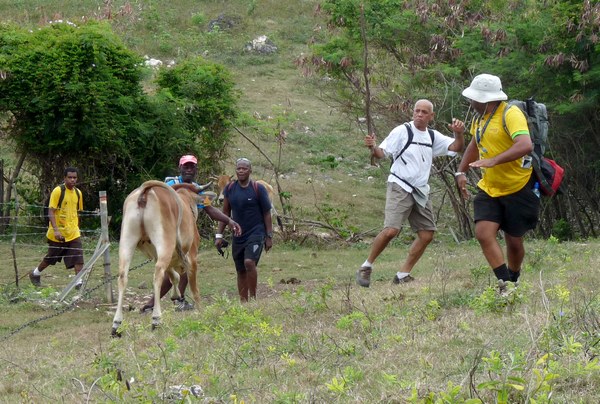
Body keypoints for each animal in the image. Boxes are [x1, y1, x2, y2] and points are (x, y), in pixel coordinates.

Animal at [111, 181, 212, 336]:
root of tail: (145, 191)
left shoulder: (158, 256)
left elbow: (174, 277)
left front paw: (176, 295)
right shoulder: (192, 257)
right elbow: (194, 289)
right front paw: (201, 312)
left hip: (127, 241)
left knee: (123, 277)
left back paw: (116, 325)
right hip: (165, 244)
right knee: (158, 274)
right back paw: (156, 320)